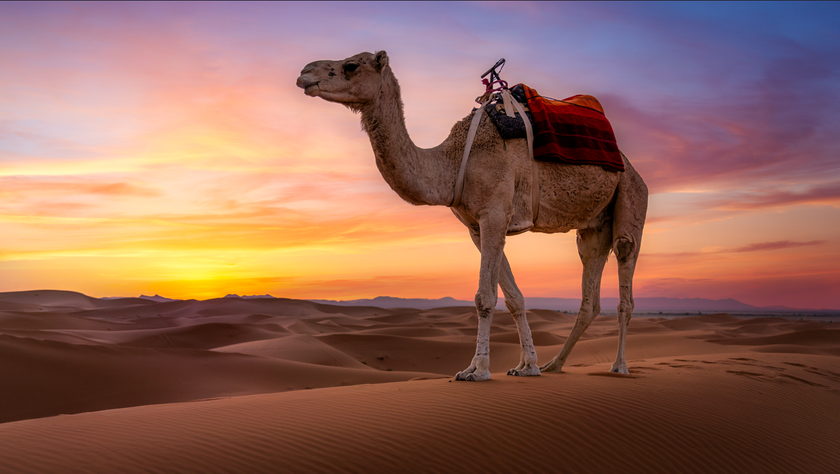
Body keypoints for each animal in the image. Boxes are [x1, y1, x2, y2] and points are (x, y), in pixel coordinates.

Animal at [296, 51, 648, 380]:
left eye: (351, 65)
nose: (304, 73)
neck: (451, 162)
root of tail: (631, 165)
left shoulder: (495, 213)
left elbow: (484, 297)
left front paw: (476, 370)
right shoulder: (478, 226)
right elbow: (514, 297)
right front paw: (527, 366)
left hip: (631, 196)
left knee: (625, 275)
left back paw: (619, 366)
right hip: (593, 229)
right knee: (590, 296)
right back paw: (554, 365)